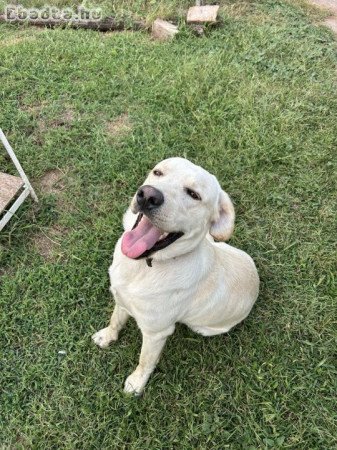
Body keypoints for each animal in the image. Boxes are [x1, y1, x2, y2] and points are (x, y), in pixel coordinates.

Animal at [93, 158, 258, 394]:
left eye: (194, 194)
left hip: (202, 328)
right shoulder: (121, 300)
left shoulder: (156, 333)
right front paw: (107, 336)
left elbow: (145, 361)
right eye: (158, 172)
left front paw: (136, 383)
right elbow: (115, 320)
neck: (145, 266)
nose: (148, 195)